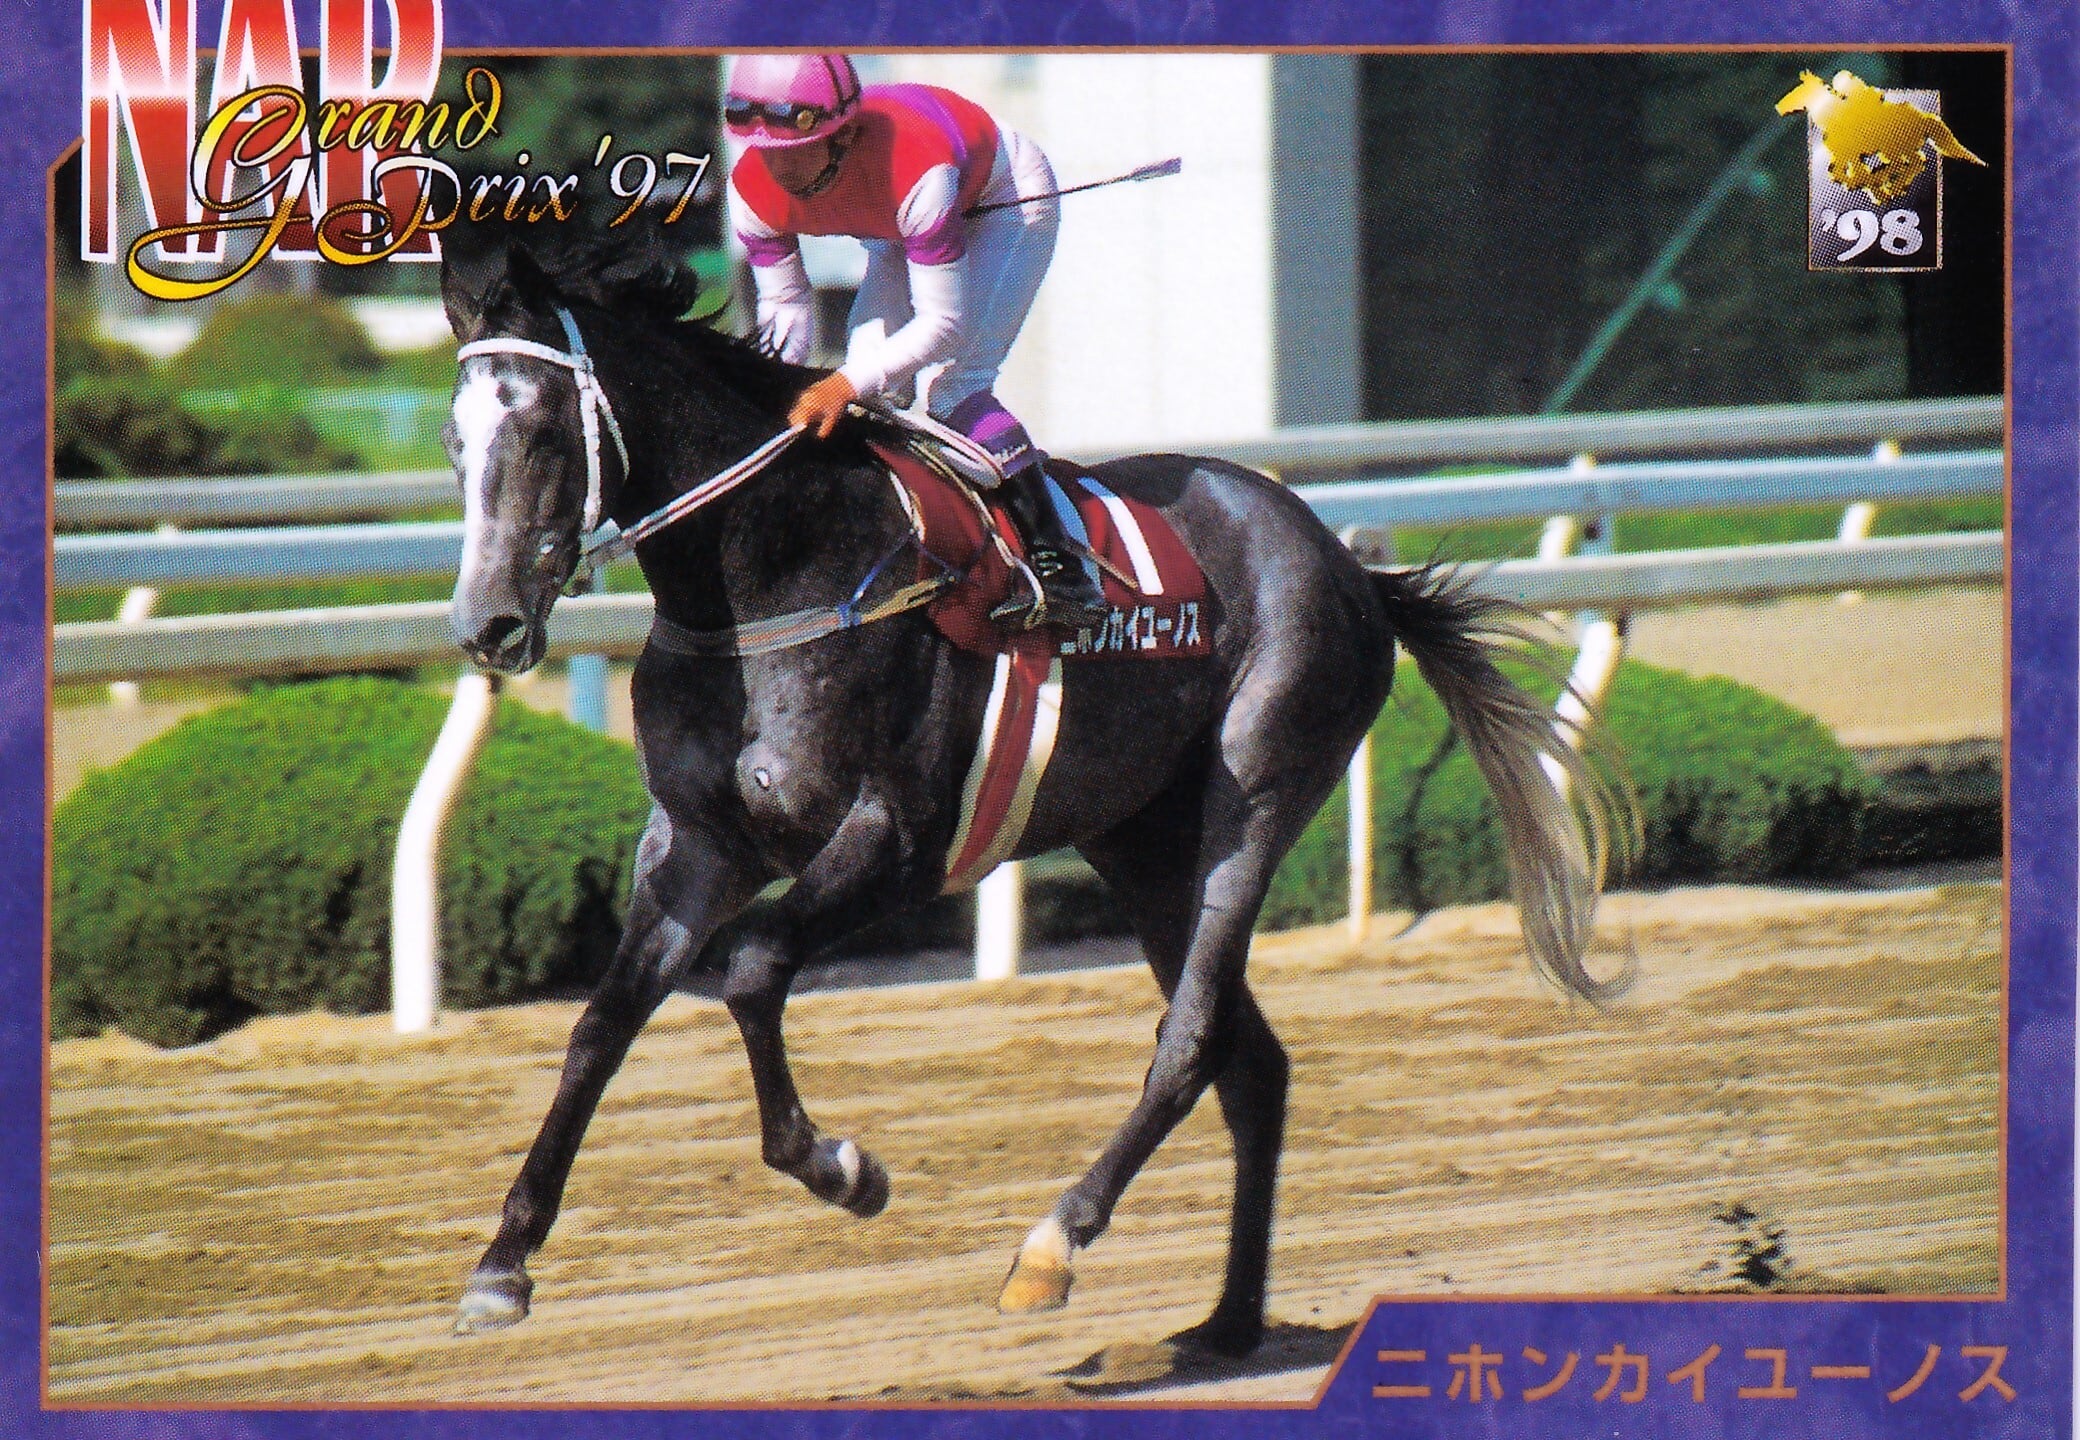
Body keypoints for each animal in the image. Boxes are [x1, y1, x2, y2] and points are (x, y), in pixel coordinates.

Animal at [436, 215, 1627, 1355]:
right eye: (455, 442)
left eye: (543, 433)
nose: (486, 626)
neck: (776, 575)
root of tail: (1346, 564)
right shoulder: (696, 843)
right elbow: (601, 1025)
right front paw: (502, 1267)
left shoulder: (895, 838)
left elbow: (756, 967)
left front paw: (842, 1168)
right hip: (1141, 847)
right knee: (1253, 1062)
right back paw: (1228, 1320)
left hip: (1257, 793)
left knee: (1192, 1039)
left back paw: (1055, 1244)